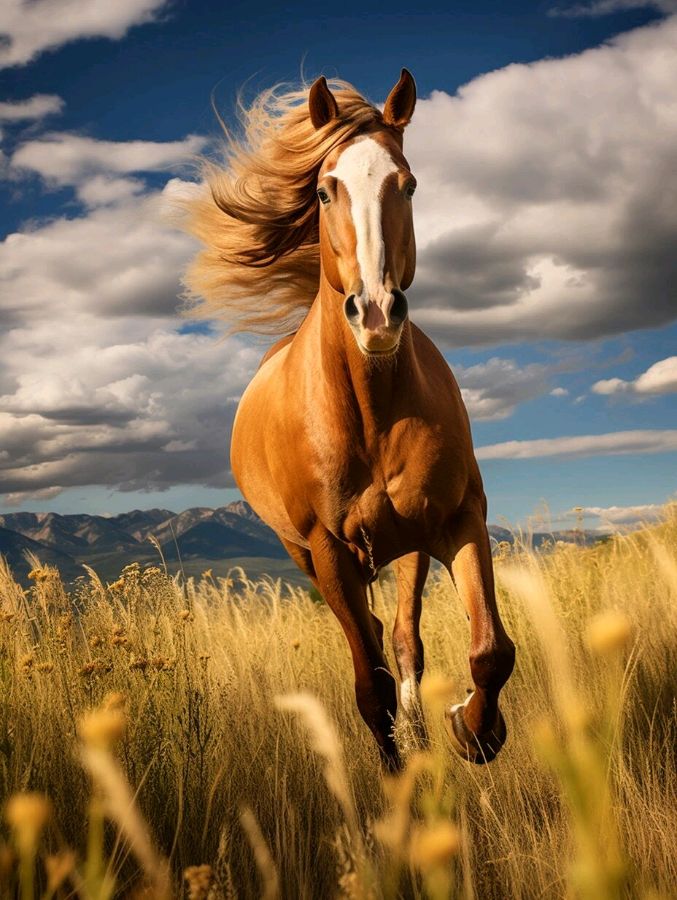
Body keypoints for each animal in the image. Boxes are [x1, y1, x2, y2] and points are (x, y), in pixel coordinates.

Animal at [182, 70, 515, 771]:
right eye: (324, 189)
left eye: (407, 183)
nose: (377, 313)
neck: (368, 412)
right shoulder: (330, 553)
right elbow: (370, 690)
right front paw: (397, 785)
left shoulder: (459, 518)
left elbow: (490, 651)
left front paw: (472, 731)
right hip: (309, 555)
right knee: (377, 649)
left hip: (407, 548)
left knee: (404, 640)